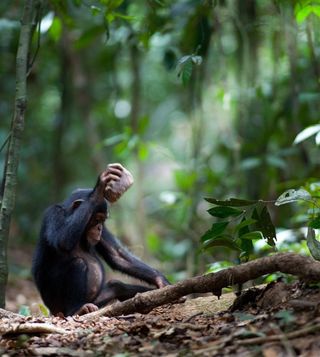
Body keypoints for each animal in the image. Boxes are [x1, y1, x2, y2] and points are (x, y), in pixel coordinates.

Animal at [31, 163, 170, 316]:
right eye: (96, 219)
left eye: (103, 221)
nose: (99, 228)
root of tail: (52, 311)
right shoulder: (53, 214)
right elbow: (62, 241)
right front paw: (99, 189)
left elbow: (117, 254)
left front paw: (161, 280)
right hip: (57, 305)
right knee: (78, 264)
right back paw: (77, 309)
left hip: (97, 300)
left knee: (116, 286)